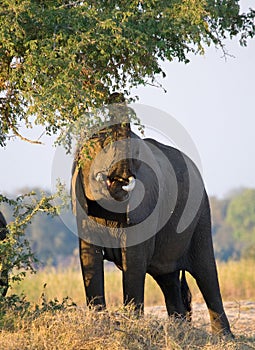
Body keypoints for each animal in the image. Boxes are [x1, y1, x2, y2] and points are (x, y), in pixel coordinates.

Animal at [70, 109, 232, 336]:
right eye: (101, 149)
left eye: (136, 154)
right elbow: (89, 257)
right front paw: (99, 326)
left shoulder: (144, 203)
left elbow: (134, 261)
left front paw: (131, 327)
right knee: (168, 279)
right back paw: (179, 331)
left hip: (201, 214)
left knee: (206, 272)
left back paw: (224, 337)